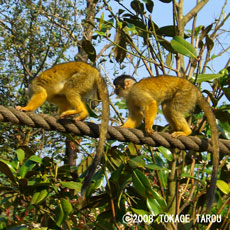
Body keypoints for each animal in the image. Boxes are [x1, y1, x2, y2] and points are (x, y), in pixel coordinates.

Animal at [16, 61, 109, 198]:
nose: (26, 95)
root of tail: (95, 71)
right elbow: (62, 100)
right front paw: (58, 115)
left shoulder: (35, 86)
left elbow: (42, 94)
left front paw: (25, 108)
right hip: (88, 83)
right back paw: (81, 114)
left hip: (84, 78)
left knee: (69, 87)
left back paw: (79, 111)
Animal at [113, 74, 219, 209]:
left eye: (117, 86)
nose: (115, 91)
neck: (131, 90)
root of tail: (195, 88)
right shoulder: (130, 99)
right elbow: (137, 115)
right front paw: (124, 127)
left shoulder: (136, 93)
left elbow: (151, 103)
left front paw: (148, 127)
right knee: (167, 107)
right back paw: (175, 129)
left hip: (186, 94)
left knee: (173, 108)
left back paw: (186, 131)